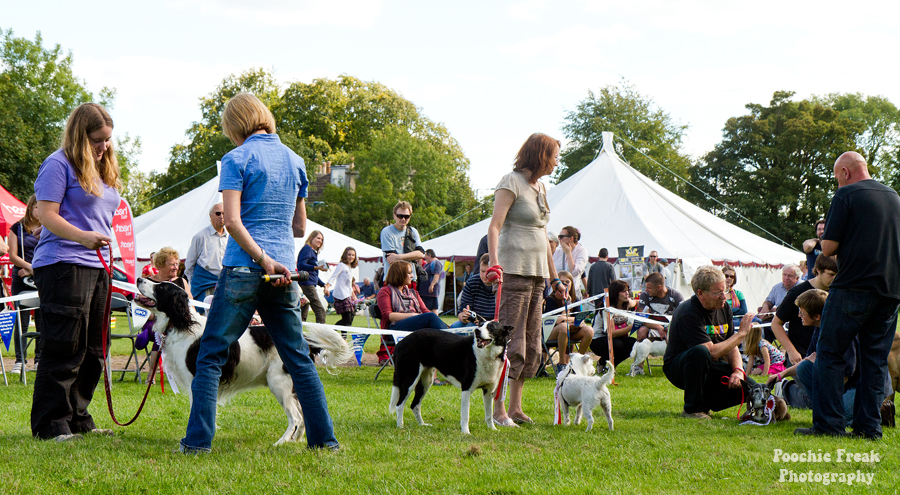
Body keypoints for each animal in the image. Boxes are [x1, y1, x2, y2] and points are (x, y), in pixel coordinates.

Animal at [134, 280, 352, 446]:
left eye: (161, 287)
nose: (139, 279)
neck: (181, 324)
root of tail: (304, 342)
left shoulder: (195, 379)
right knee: (304, 412)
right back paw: (296, 440)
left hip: (279, 382)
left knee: (296, 417)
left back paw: (281, 442)